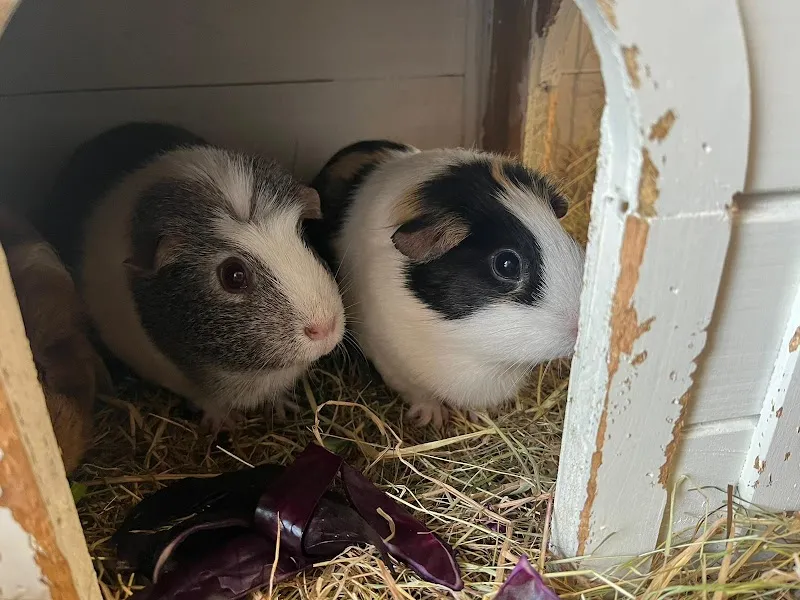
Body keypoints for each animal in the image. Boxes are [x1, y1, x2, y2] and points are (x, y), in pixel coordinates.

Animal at [39, 122, 345, 429]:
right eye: (234, 275)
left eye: (303, 235)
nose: (325, 327)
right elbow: (205, 399)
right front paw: (225, 423)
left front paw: (283, 408)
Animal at [309, 140, 584, 428]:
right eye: (506, 264)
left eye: (565, 237)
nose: (578, 327)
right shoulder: (389, 358)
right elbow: (417, 392)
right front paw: (433, 419)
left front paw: (480, 417)